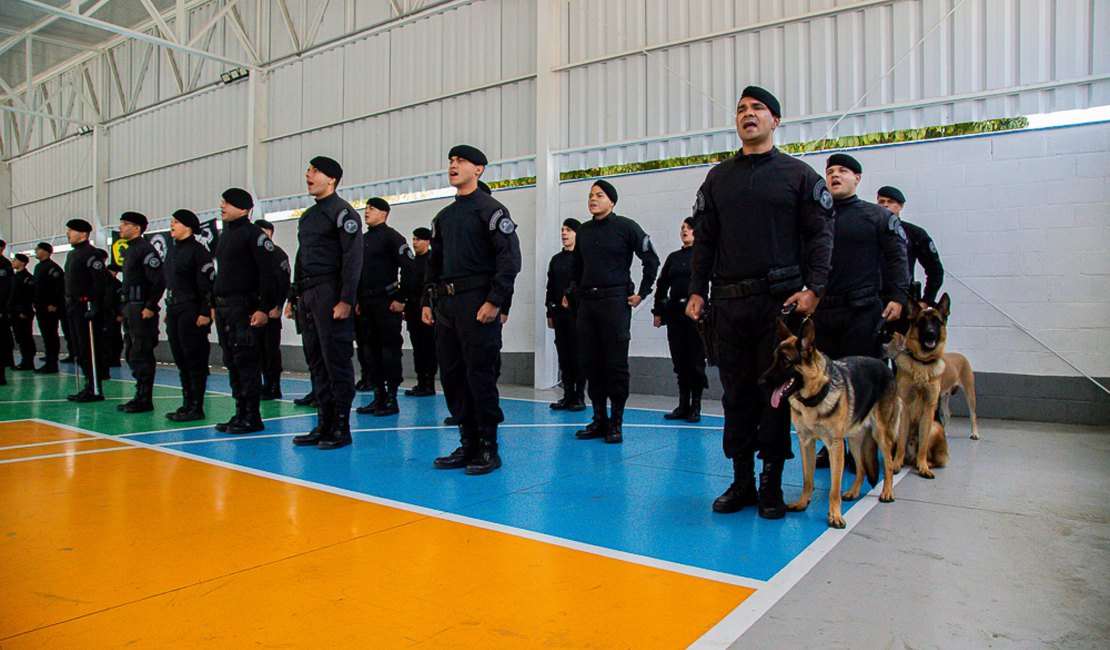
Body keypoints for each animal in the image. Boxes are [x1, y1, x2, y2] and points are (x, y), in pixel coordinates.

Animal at [759, 317, 896, 525]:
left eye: (786, 362)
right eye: (774, 359)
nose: (760, 382)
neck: (813, 399)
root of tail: (882, 364)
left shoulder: (835, 446)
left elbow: (834, 488)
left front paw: (835, 515)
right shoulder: (806, 442)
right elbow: (808, 479)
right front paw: (802, 502)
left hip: (881, 435)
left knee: (888, 464)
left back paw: (887, 491)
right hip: (854, 440)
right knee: (862, 468)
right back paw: (854, 491)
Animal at [892, 292, 954, 474]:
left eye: (936, 321)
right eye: (921, 322)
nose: (930, 333)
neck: (922, 363)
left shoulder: (928, 407)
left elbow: (924, 446)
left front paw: (923, 467)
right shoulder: (904, 405)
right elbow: (901, 442)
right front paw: (896, 464)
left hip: (935, 427)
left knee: (929, 454)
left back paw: (923, 463)